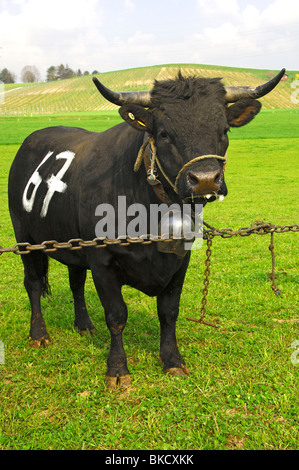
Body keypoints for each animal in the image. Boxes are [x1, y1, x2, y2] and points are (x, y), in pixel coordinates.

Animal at [8, 68, 286, 388]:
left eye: (224, 130)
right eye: (163, 133)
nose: (205, 179)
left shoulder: (180, 261)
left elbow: (169, 312)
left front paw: (172, 360)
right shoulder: (102, 261)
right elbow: (116, 315)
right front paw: (117, 370)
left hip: (73, 243)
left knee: (75, 282)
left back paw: (84, 326)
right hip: (24, 237)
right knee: (33, 283)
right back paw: (39, 334)